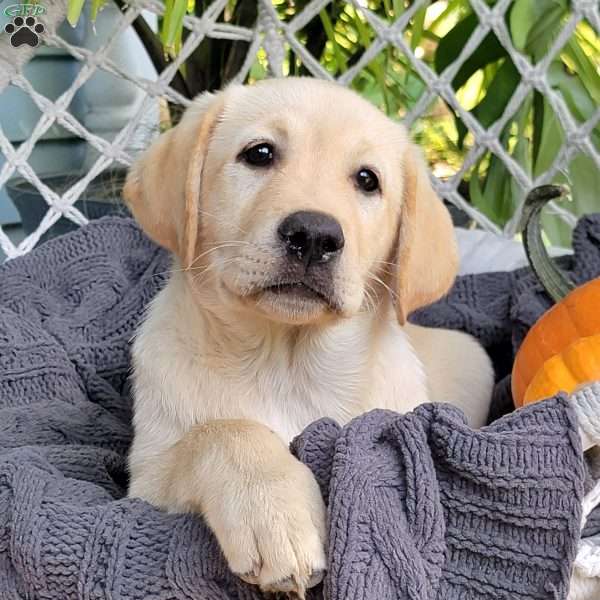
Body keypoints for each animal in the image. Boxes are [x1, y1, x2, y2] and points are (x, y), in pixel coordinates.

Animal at [123, 78, 492, 596]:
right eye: (259, 154)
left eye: (367, 180)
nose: (315, 235)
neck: (287, 365)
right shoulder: (144, 483)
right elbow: (220, 432)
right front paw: (275, 515)